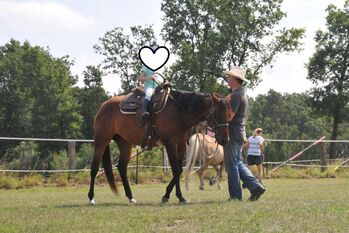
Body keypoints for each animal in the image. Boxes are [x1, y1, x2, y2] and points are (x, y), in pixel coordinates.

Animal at [88, 87, 232, 204]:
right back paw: (91, 198)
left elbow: (179, 170)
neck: (179, 112)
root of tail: (103, 106)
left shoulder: (181, 144)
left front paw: (171, 196)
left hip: (124, 143)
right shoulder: (170, 144)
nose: (225, 140)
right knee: (94, 167)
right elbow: (176, 170)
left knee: (122, 167)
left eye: (228, 114)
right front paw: (176, 197)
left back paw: (131, 197)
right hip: (101, 140)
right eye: (217, 114)